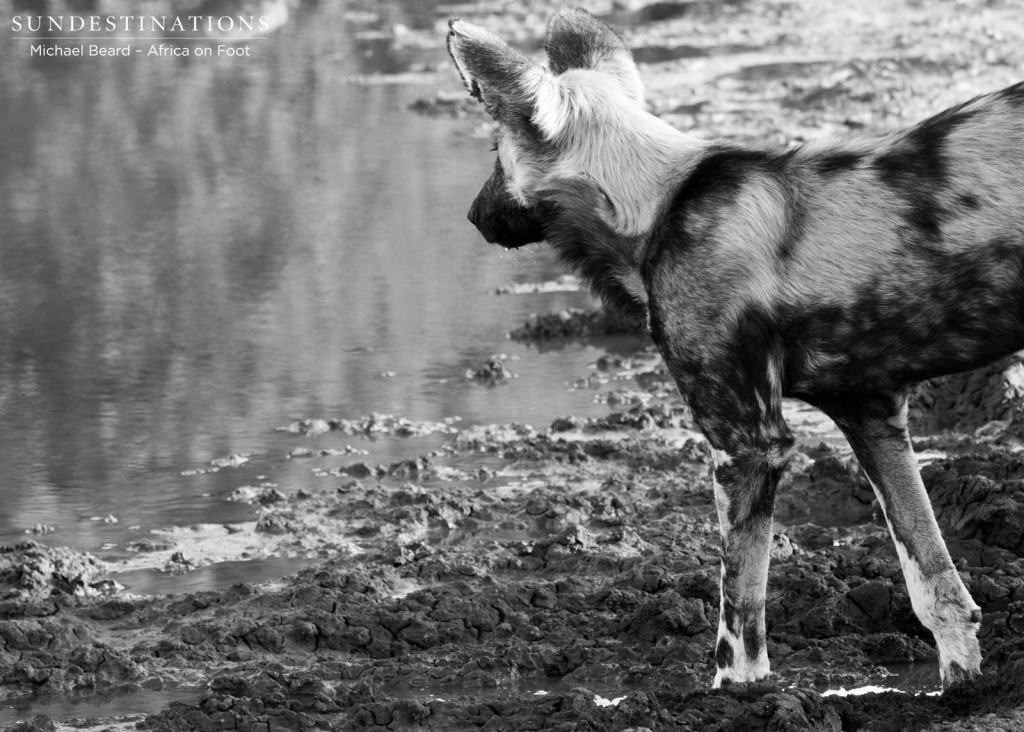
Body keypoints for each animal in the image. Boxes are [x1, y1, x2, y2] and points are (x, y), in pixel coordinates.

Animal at [446, 8, 1024, 692]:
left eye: (493, 150)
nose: (472, 214)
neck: (656, 205)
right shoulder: (871, 412)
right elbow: (935, 584)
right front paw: (961, 689)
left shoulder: (747, 444)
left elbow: (740, 618)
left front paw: (733, 698)